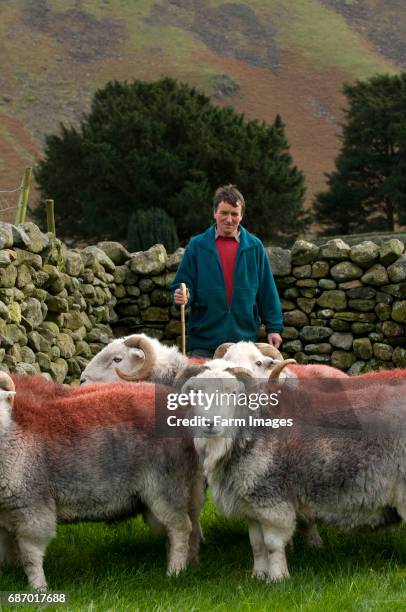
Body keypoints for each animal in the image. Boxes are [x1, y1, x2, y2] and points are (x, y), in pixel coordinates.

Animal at [182, 366, 406, 580]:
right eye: (197, 393)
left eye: (233, 393)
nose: (210, 423)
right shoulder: (251, 506)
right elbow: (257, 545)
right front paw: (258, 575)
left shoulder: (272, 499)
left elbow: (272, 544)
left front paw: (278, 578)